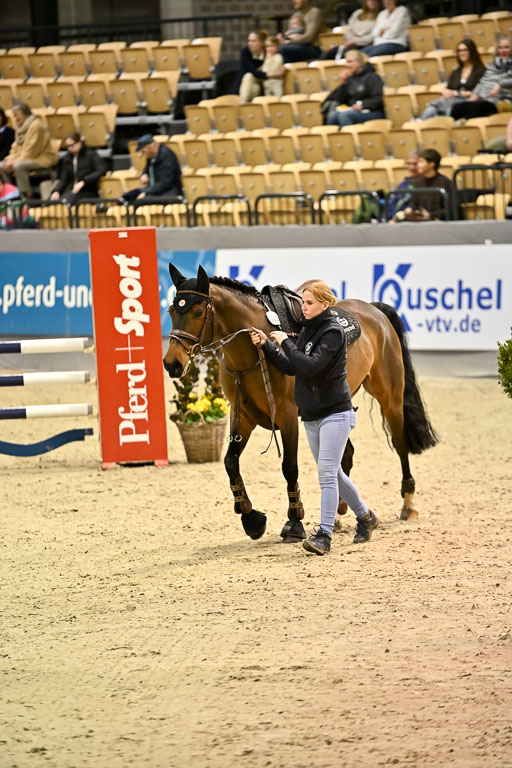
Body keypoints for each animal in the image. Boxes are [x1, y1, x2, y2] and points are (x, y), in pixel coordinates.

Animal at [163, 264, 438, 543]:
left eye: (198, 312)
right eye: (171, 311)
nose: (171, 363)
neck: (253, 355)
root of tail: (373, 309)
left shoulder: (287, 417)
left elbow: (290, 467)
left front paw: (294, 522)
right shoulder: (242, 417)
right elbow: (231, 462)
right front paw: (252, 519)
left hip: (390, 396)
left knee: (400, 444)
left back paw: (408, 505)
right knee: (345, 456)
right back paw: (338, 515)